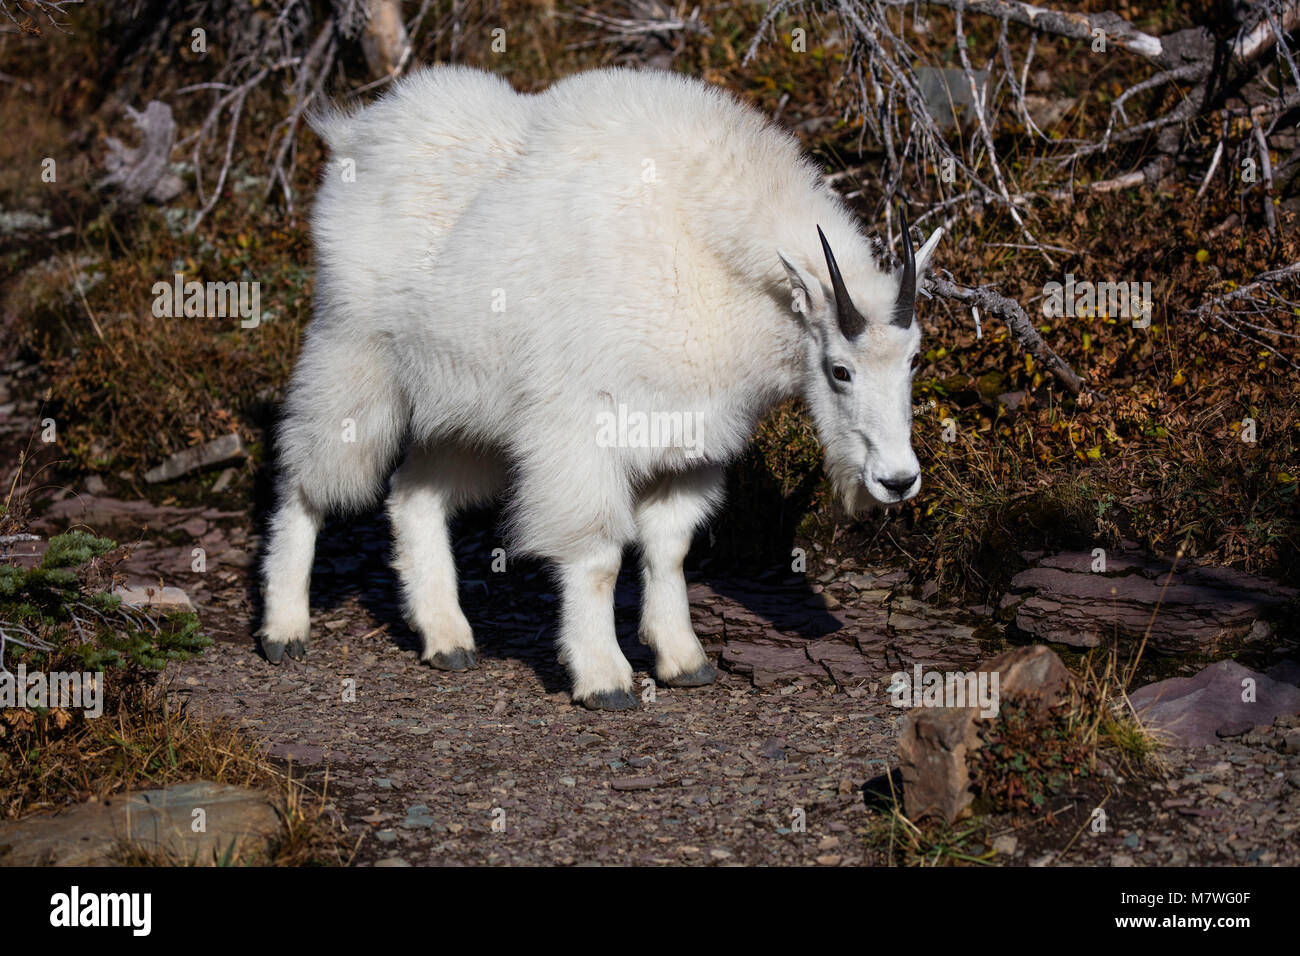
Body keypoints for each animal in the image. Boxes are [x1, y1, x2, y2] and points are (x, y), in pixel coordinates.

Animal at [258, 65, 941, 712]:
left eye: (913, 359)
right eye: (839, 369)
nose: (897, 480)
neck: (709, 261)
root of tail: (355, 136)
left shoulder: (688, 437)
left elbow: (669, 547)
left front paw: (683, 659)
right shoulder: (582, 431)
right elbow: (597, 558)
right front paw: (603, 677)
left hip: (463, 412)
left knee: (412, 495)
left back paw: (446, 637)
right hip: (354, 356)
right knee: (306, 476)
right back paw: (283, 627)